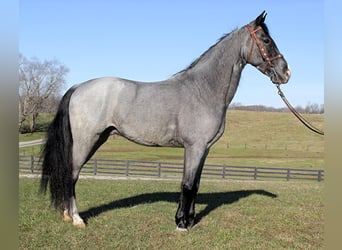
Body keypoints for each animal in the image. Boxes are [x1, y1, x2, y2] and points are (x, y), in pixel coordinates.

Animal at [40, 11, 292, 230]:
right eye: (266, 40)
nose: (286, 73)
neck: (203, 89)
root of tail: (78, 87)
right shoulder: (194, 147)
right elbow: (187, 184)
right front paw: (181, 223)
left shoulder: (204, 149)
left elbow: (195, 184)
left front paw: (190, 220)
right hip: (86, 141)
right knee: (72, 174)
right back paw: (76, 219)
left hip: (98, 139)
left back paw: (67, 215)